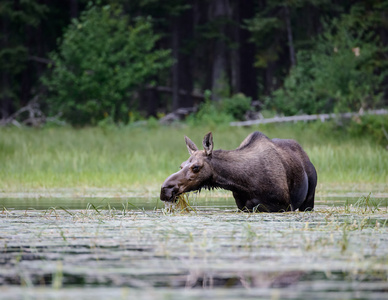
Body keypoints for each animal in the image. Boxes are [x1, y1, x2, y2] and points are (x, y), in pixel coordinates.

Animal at [159, 132, 316, 213]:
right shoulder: (243, 207)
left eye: (196, 167)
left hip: (309, 200)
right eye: (181, 165)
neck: (244, 184)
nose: (165, 189)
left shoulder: (283, 207)